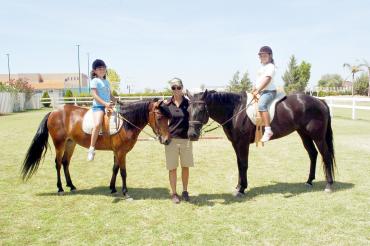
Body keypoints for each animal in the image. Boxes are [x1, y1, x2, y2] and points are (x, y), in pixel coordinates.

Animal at [22, 99, 172, 197]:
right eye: (159, 117)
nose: (167, 140)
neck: (126, 123)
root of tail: (53, 112)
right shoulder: (121, 152)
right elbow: (123, 172)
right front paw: (125, 192)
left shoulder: (117, 152)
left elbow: (115, 168)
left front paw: (112, 188)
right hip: (60, 144)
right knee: (58, 163)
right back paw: (60, 188)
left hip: (70, 143)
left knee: (65, 162)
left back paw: (71, 185)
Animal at [188, 90, 336, 196]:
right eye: (188, 110)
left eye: (201, 110)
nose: (191, 135)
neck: (236, 110)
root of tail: (320, 101)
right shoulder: (235, 143)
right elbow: (239, 164)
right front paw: (239, 186)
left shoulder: (242, 143)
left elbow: (244, 164)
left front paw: (241, 189)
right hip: (304, 135)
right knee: (313, 154)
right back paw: (309, 181)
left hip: (318, 137)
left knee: (326, 156)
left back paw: (329, 185)